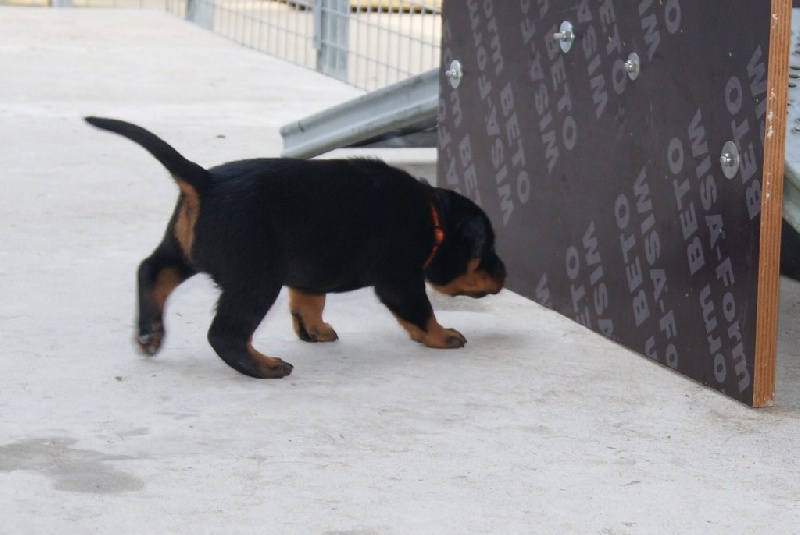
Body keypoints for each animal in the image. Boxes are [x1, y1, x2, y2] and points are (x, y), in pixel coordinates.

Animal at [85, 117, 506, 379]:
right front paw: (442, 335)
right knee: (225, 332)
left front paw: (314, 331)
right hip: (256, 278)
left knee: (152, 270)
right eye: (485, 250)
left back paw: (150, 333)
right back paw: (265, 367)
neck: (433, 218)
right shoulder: (399, 278)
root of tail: (205, 182)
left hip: (182, 248)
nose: (505, 272)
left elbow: (308, 302)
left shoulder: (311, 270)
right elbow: (420, 312)